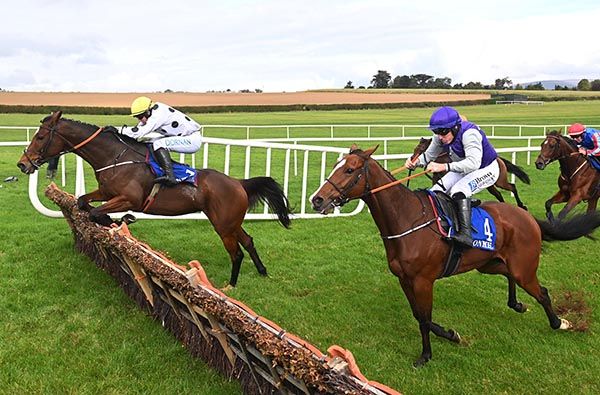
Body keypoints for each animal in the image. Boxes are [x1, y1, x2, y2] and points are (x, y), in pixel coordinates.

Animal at [17, 112, 292, 288]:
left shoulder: (129, 198)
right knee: (248, 241)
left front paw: (122, 220)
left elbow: (96, 213)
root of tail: (238, 183)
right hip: (231, 222)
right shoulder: (106, 193)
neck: (115, 157)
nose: (22, 164)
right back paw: (262, 271)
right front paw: (114, 220)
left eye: (40, 137)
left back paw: (230, 286)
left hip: (223, 225)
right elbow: (83, 202)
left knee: (236, 253)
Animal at [310, 145, 600, 368]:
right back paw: (516, 304)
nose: (317, 199)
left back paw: (559, 322)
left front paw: (426, 355)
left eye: (349, 170)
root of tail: (528, 218)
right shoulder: (404, 279)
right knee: (513, 278)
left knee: (543, 292)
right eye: (335, 165)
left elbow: (424, 319)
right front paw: (451, 335)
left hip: (524, 268)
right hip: (490, 263)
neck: (407, 218)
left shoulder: (423, 281)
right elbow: (420, 316)